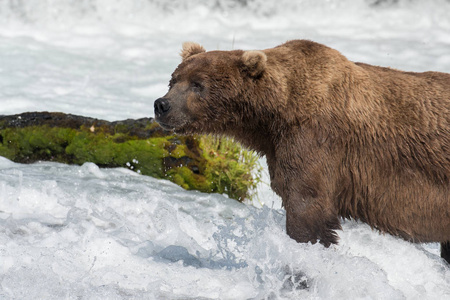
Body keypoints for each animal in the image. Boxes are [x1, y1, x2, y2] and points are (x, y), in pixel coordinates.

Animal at [155, 39, 450, 262]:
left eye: (198, 84)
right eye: (173, 80)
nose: (162, 104)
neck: (273, 116)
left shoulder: (315, 139)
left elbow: (307, 204)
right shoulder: (280, 147)